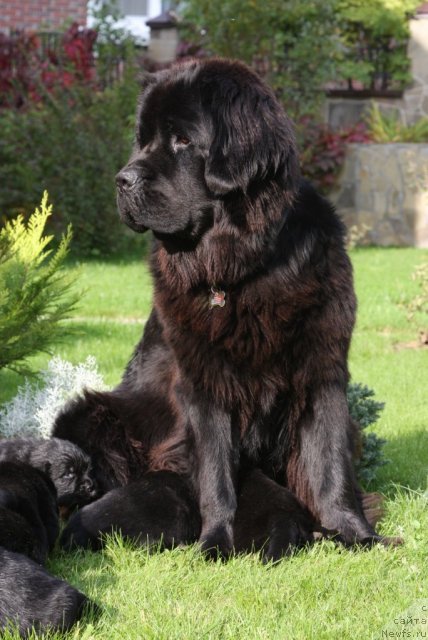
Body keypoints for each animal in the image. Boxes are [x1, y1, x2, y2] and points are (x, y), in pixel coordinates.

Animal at [55, 58, 400, 560]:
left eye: (182, 140)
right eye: (144, 141)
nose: (122, 180)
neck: (241, 269)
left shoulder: (322, 374)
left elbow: (330, 465)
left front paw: (356, 534)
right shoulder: (205, 385)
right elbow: (216, 474)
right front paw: (215, 541)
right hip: (89, 414)